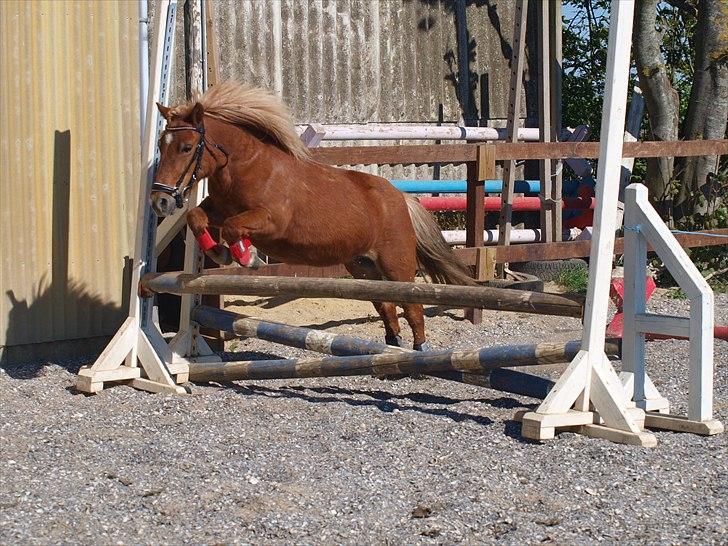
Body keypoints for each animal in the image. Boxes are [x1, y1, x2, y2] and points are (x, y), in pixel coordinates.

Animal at [151, 81, 474, 348]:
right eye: (160, 146)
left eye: (186, 147)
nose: (160, 202)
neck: (248, 167)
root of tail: (402, 198)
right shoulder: (218, 209)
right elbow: (196, 216)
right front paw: (219, 252)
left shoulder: (271, 222)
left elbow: (232, 227)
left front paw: (247, 257)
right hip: (363, 267)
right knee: (386, 306)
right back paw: (391, 349)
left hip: (396, 264)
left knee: (413, 307)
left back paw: (419, 352)